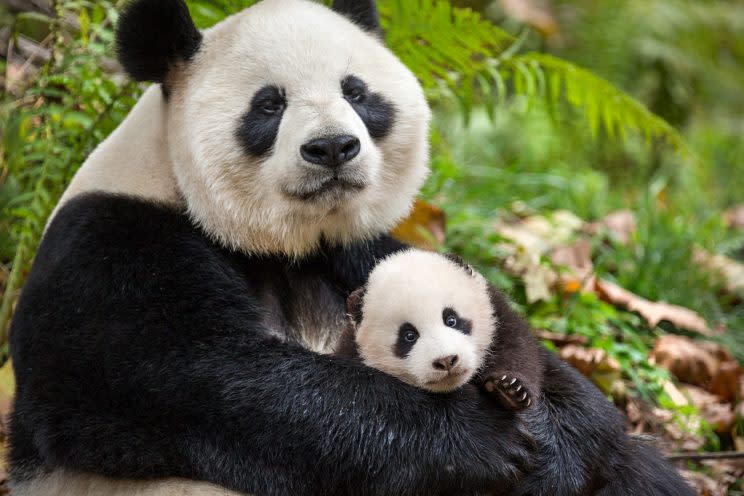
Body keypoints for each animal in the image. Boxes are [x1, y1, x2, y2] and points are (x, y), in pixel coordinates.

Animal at [5, 0, 696, 496]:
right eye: (269, 104)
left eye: (357, 91)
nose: (333, 147)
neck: (277, 245)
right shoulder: (111, 256)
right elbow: (216, 382)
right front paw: (481, 442)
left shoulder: (360, 252)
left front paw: (552, 442)